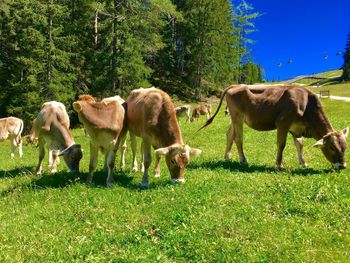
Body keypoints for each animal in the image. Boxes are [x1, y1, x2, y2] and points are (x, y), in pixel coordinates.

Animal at [201, 85, 348, 171]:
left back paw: (227, 156)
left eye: (345, 147)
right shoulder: (283, 122)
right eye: (332, 147)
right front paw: (279, 164)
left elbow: (299, 144)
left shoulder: (296, 127)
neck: (306, 104)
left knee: (229, 134)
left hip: (235, 118)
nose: (342, 166)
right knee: (238, 138)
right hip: (237, 116)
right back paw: (243, 160)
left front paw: (304, 163)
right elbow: (281, 144)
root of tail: (236, 85)